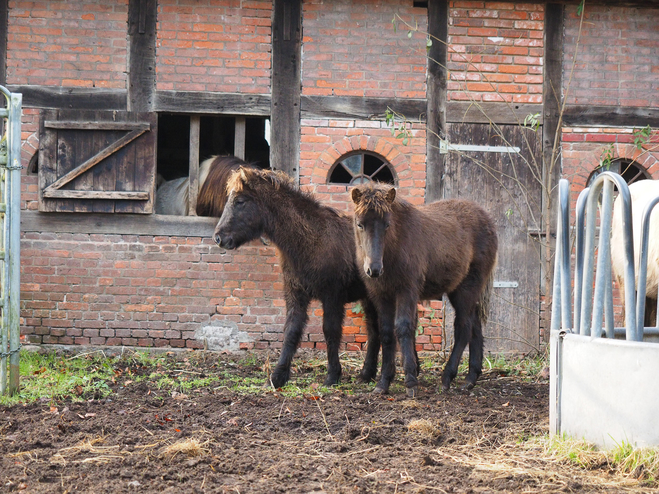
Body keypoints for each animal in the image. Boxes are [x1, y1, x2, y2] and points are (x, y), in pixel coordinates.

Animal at [354, 183, 498, 396]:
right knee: (475, 327)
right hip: (465, 292)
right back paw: (470, 379)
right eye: (359, 224)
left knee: (463, 329)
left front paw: (411, 381)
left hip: (466, 290)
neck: (395, 246)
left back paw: (447, 377)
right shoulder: (381, 295)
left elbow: (404, 328)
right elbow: (386, 332)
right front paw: (383, 382)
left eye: (387, 224)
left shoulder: (407, 290)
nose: (374, 270)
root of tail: (488, 220)